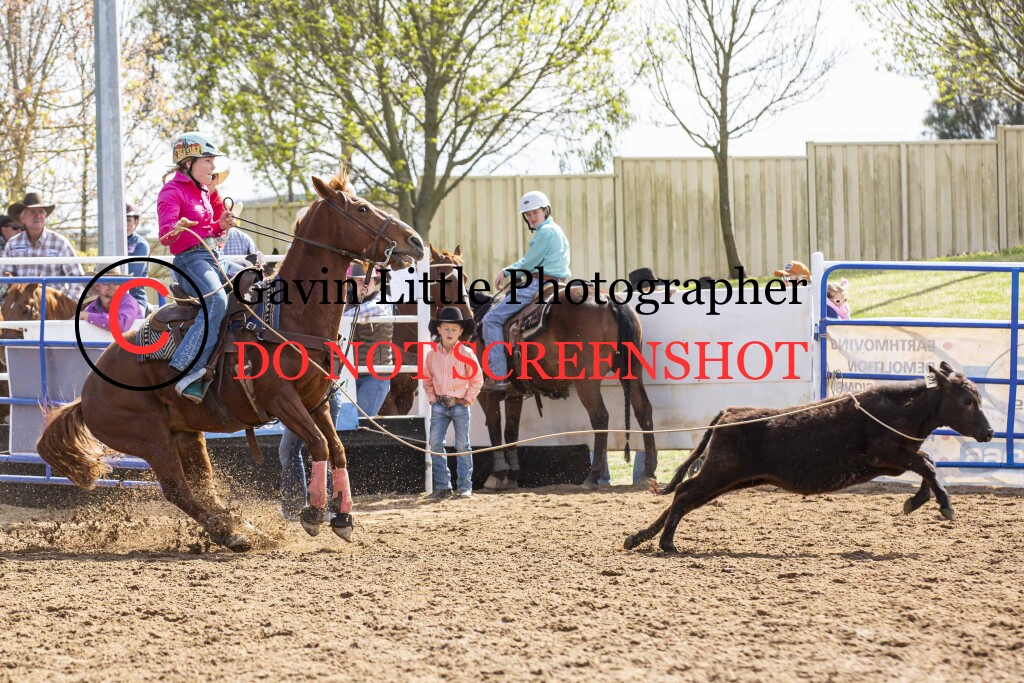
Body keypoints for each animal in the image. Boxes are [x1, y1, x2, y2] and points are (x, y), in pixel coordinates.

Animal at [35, 173, 425, 551]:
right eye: (361, 208)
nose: (415, 241)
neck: (287, 316)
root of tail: (86, 396)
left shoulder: (317, 402)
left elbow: (338, 450)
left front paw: (342, 518)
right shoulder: (283, 401)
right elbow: (319, 445)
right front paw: (314, 513)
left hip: (186, 435)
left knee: (204, 488)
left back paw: (244, 528)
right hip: (150, 438)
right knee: (178, 489)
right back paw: (231, 533)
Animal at [468, 275, 659, 490]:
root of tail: (610, 301)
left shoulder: (486, 392)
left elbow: (494, 426)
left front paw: (498, 474)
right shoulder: (514, 393)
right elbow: (511, 430)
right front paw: (512, 475)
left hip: (587, 380)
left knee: (600, 416)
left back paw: (592, 476)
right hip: (633, 370)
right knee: (643, 409)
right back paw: (648, 471)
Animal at [624, 362, 995, 554]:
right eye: (967, 401)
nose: (990, 432)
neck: (899, 410)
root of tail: (728, 413)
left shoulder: (898, 458)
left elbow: (927, 465)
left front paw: (915, 502)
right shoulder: (887, 455)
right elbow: (928, 464)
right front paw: (945, 506)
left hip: (729, 477)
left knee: (683, 496)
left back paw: (639, 538)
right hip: (722, 472)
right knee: (684, 494)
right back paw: (666, 543)